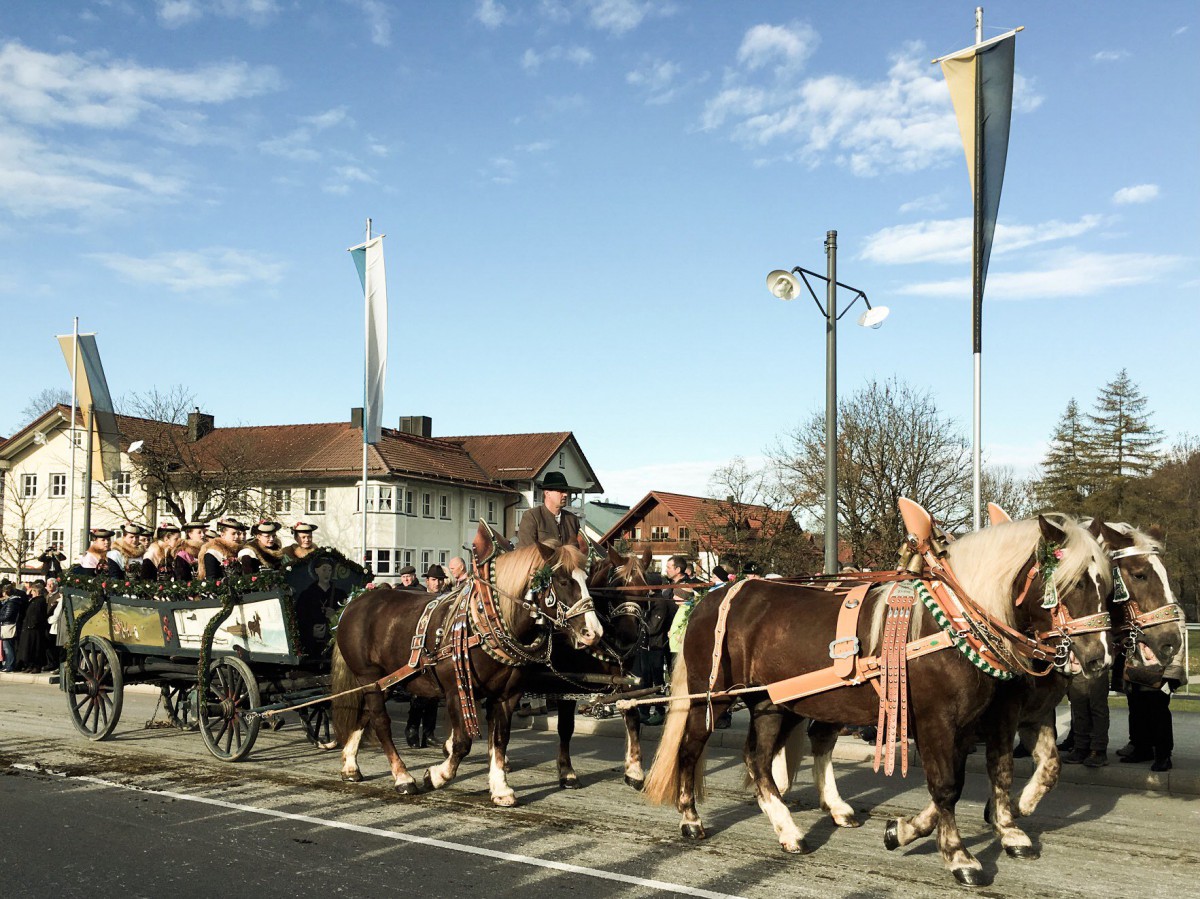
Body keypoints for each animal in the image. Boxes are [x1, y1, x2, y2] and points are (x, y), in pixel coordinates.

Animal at [328, 518, 600, 806]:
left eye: (587, 579)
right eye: (563, 581)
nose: (593, 632)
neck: (484, 622)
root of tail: (353, 604)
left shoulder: (507, 695)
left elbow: (500, 739)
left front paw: (500, 787)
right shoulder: (456, 692)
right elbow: (462, 743)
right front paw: (436, 776)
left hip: (388, 681)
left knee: (364, 713)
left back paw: (350, 765)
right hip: (369, 677)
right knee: (380, 721)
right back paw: (402, 777)